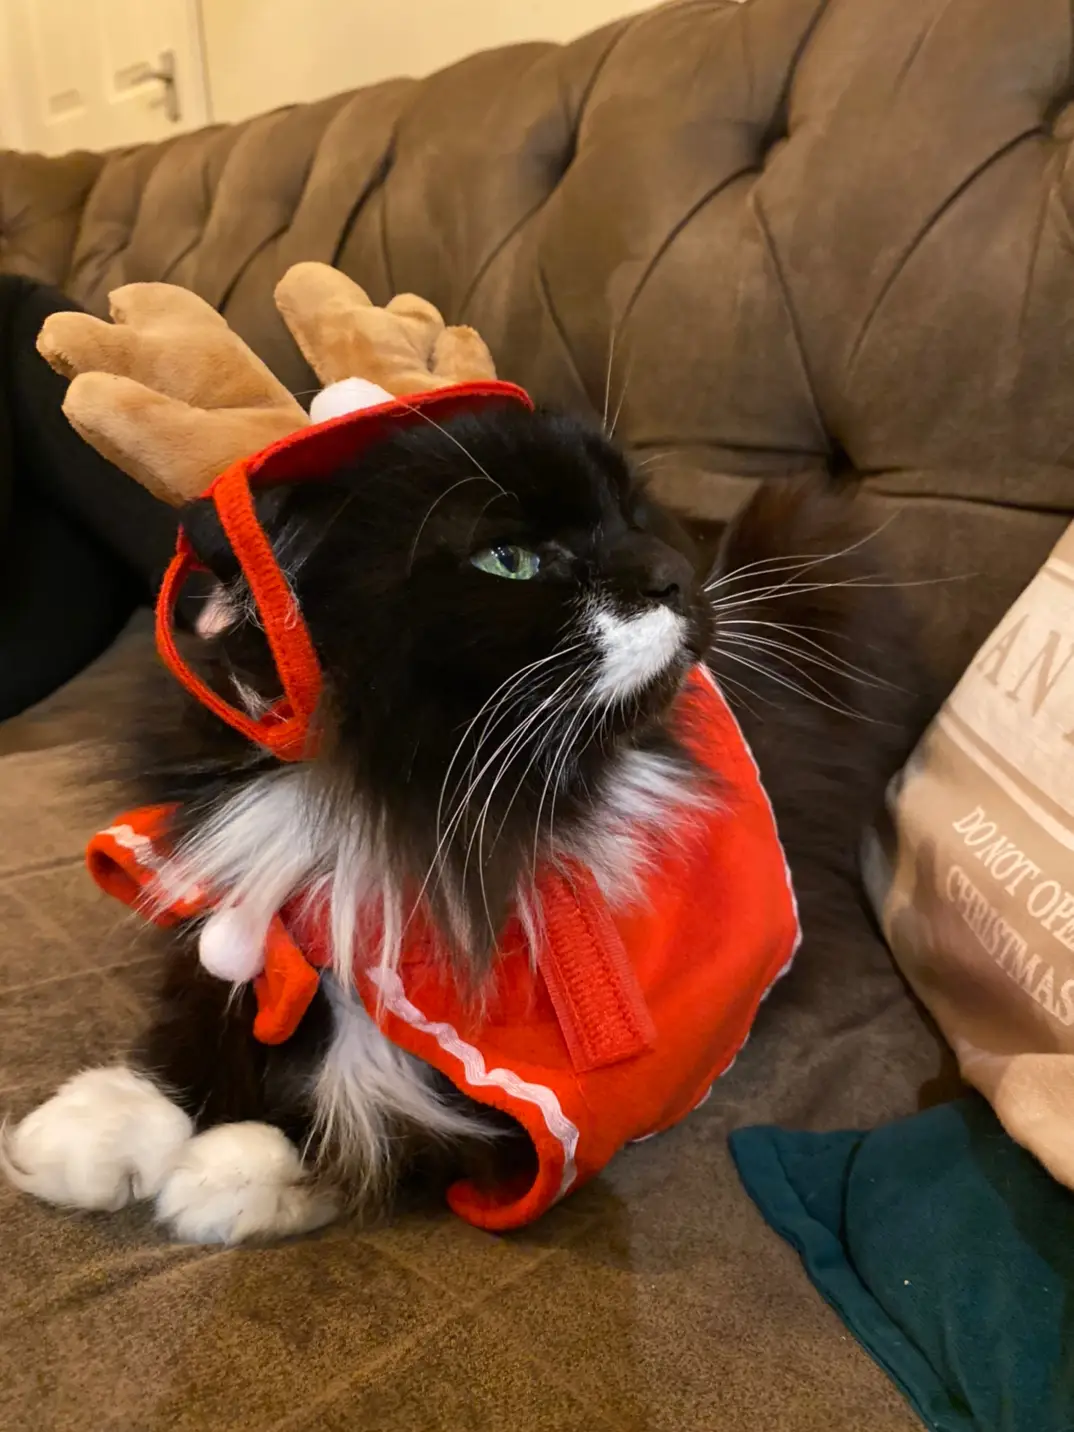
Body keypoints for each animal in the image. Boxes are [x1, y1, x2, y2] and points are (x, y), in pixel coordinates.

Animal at [2, 398, 927, 1237]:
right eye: (509, 559)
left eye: (634, 517)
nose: (673, 573)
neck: (408, 811)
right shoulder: (264, 905)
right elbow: (212, 1006)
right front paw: (107, 1120)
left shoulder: (542, 1110)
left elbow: (380, 1114)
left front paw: (232, 1173)